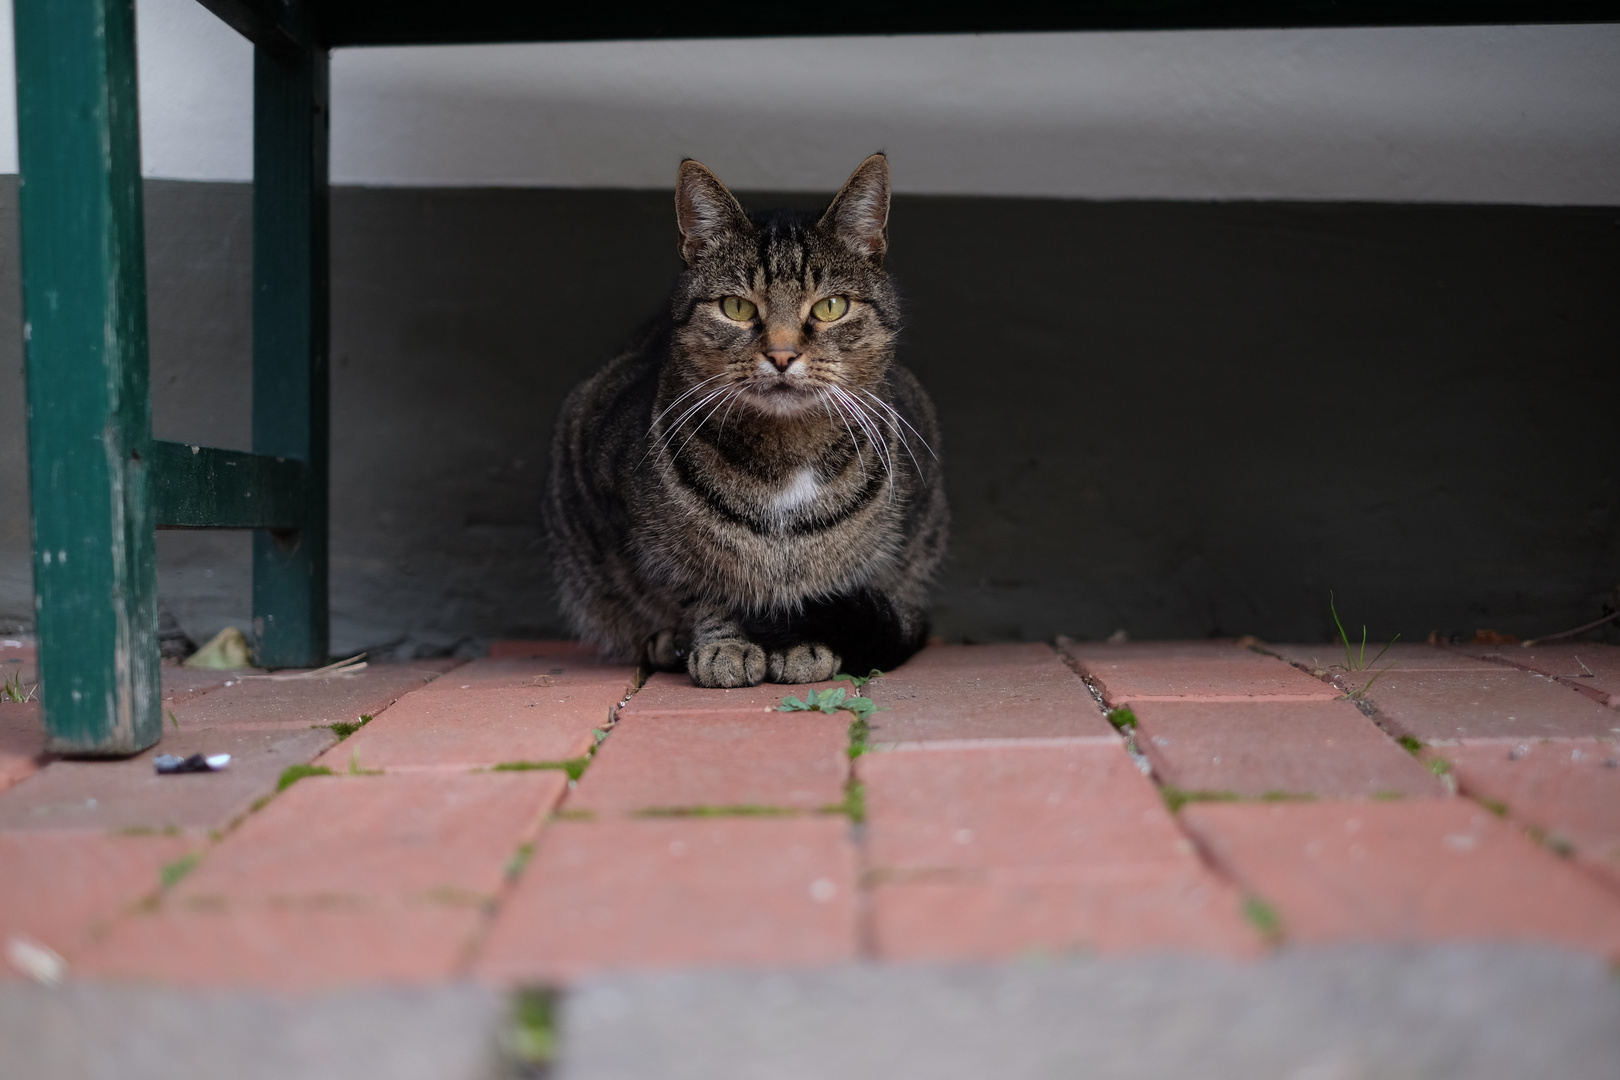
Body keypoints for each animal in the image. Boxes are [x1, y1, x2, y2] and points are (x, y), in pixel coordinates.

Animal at [547, 156, 946, 689]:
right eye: (736, 307)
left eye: (830, 307)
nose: (781, 354)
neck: (787, 453)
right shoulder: (647, 534)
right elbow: (702, 589)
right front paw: (725, 646)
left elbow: (826, 587)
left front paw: (804, 644)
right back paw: (666, 644)